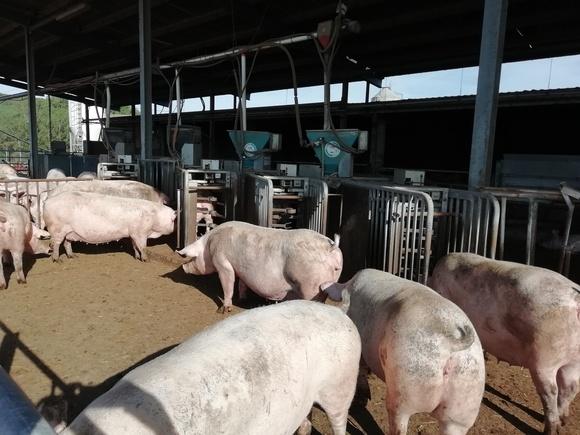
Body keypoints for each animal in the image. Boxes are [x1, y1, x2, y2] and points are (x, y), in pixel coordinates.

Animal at [44, 192, 176, 262]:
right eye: (173, 220)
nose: (174, 230)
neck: (154, 216)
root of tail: (47, 202)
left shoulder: (132, 233)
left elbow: (135, 246)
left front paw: (136, 257)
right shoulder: (140, 233)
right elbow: (143, 247)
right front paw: (146, 260)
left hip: (68, 232)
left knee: (66, 243)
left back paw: (73, 256)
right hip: (57, 230)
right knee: (55, 244)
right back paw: (58, 260)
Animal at [174, 223, 342, 312]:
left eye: (192, 257)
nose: (183, 268)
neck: (209, 245)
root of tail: (331, 246)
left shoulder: (222, 261)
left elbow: (228, 283)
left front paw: (224, 310)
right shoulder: (241, 269)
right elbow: (241, 284)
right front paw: (242, 300)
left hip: (310, 285)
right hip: (329, 282)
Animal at [430, 252, 580, 435]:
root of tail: (576, 300)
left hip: (544, 357)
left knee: (551, 391)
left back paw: (550, 429)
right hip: (574, 358)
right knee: (570, 387)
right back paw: (563, 420)